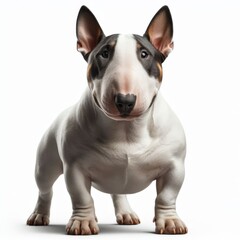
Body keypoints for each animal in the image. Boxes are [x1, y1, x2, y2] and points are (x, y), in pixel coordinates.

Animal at [26, 5, 188, 234]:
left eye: (144, 54)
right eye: (104, 54)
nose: (125, 101)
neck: (126, 130)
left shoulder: (174, 167)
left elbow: (166, 196)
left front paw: (170, 221)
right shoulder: (74, 169)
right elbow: (81, 196)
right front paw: (83, 222)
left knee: (118, 190)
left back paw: (126, 213)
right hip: (45, 164)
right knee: (45, 189)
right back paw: (40, 215)